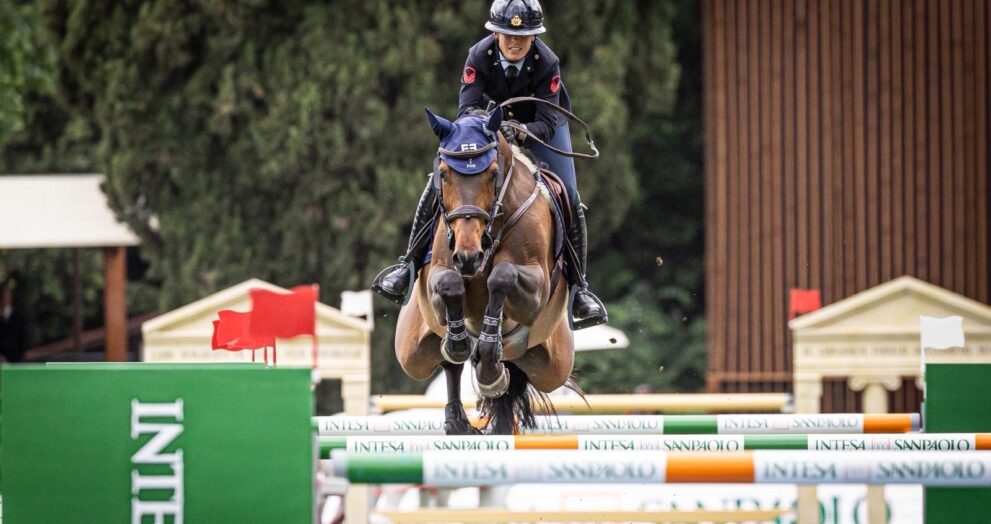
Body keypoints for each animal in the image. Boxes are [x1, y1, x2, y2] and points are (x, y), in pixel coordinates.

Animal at [394, 105, 575, 435]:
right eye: (443, 173)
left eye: (492, 174)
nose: (468, 256)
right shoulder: (438, 272)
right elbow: (449, 284)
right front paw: (459, 342)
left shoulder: (537, 288)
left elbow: (501, 277)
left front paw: (490, 362)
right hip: (411, 350)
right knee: (445, 362)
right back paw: (456, 418)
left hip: (555, 365)